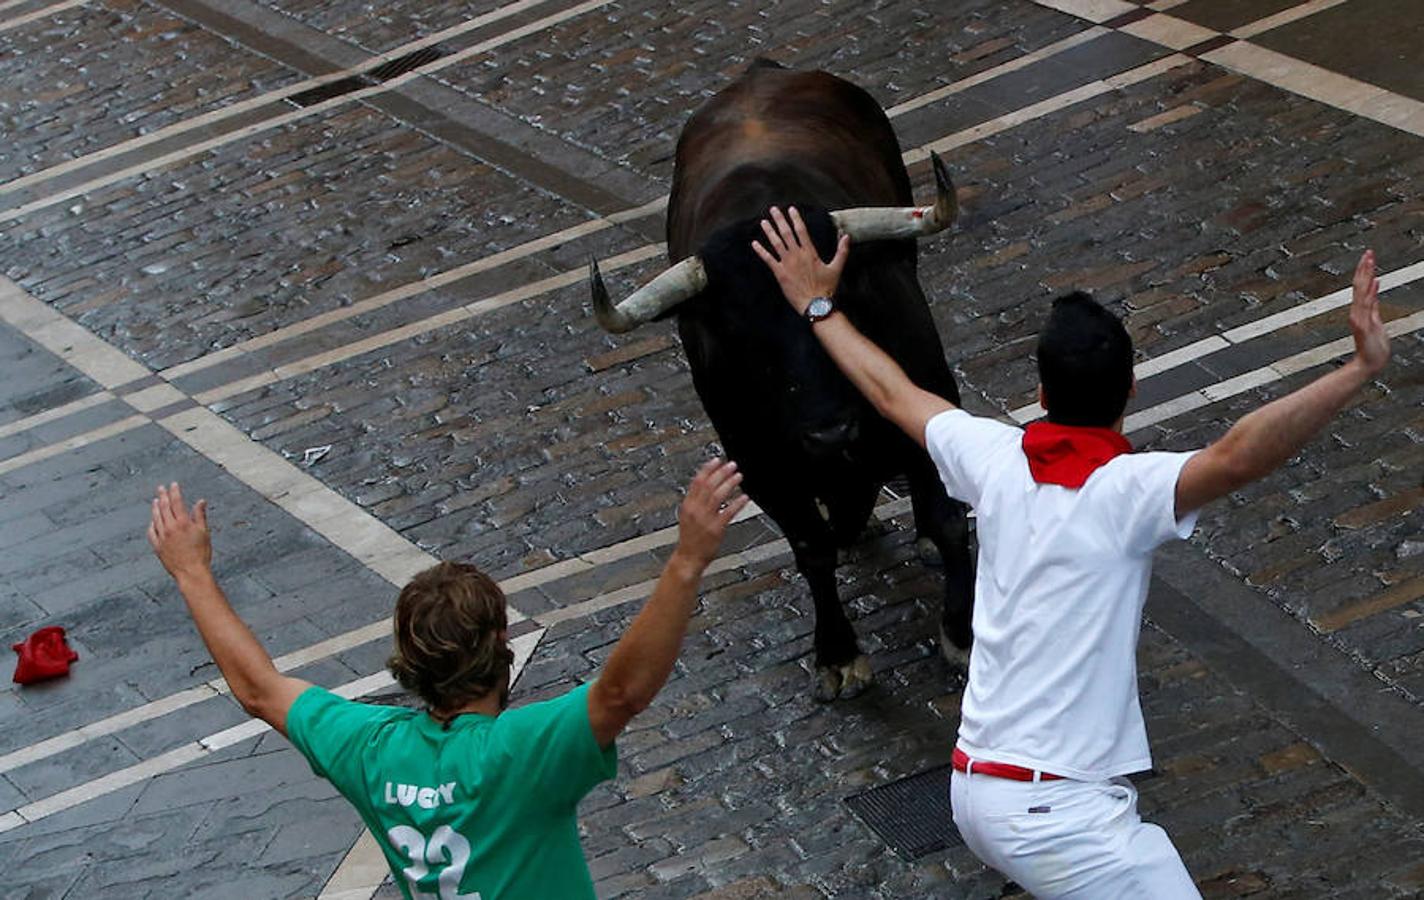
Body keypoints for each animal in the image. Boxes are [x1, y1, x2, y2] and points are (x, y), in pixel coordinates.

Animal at [583, 63, 974, 700]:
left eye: (841, 297)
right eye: (740, 336)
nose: (830, 431)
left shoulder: (929, 401)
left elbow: (945, 518)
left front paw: (961, 636)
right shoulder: (762, 468)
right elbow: (811, 548)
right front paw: (837, 654)